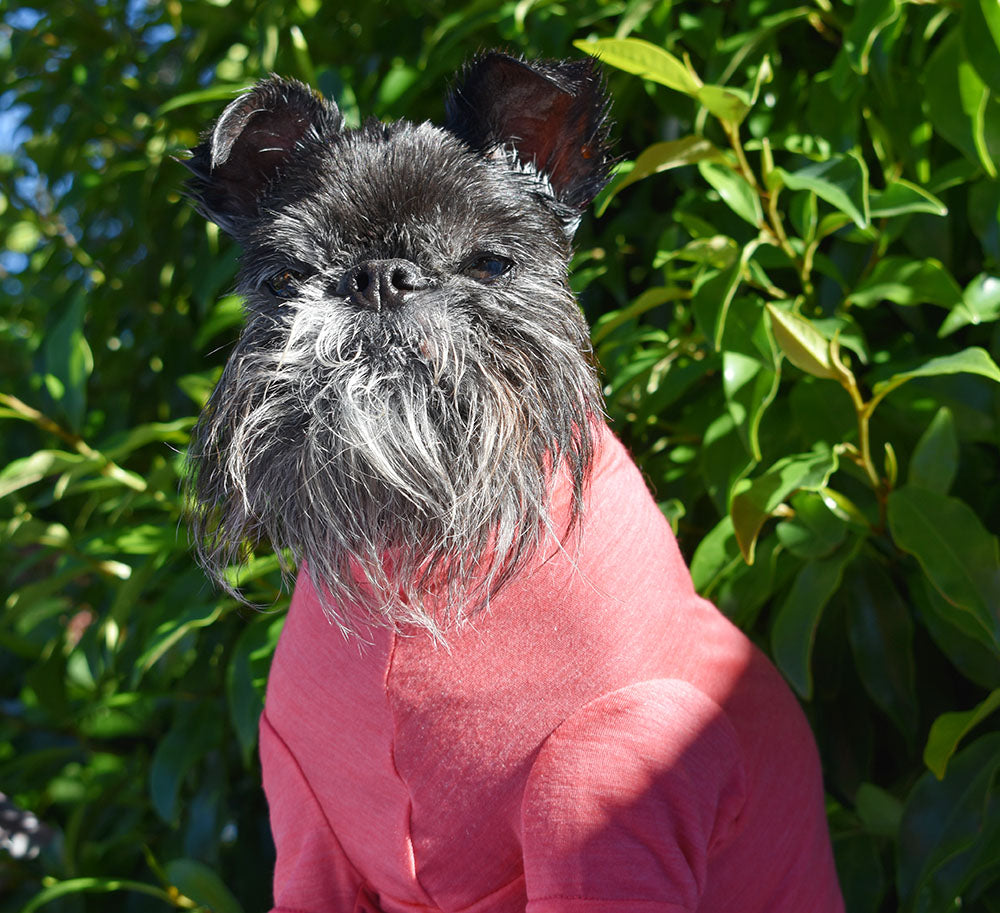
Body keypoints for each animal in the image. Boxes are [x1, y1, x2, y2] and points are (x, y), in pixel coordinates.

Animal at [182, 51, 844, 912]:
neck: (419, 552)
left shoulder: (606, 797)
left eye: (491, 263)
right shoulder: (306, 837)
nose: (378, 276)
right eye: (284, 277)